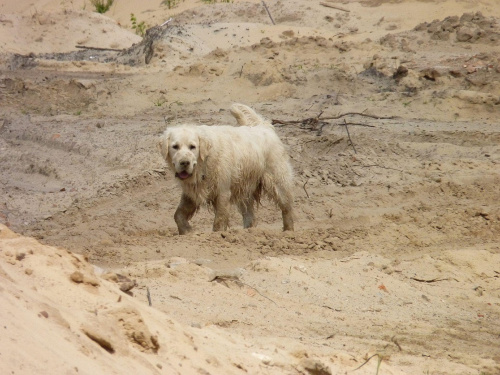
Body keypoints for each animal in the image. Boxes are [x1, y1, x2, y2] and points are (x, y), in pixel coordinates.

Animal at [159, 103, 292, 235]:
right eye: (175, 146)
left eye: (192, 147)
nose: (185, 163)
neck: (204, 162)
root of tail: (264, 126)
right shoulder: (192, 192)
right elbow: (178, 215)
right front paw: (187, 231)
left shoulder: (222, 192)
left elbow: (219, 220)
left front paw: (217, 235)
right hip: (244, 188)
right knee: (250, 216)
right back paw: (248, 232)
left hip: (278, 182)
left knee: (287, 208)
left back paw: (289, 231)